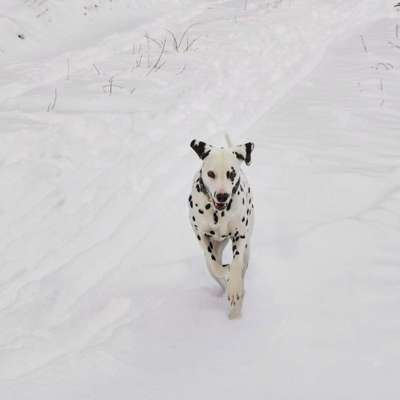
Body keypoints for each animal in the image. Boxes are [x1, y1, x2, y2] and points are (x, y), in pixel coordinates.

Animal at [189, 138, 255, 318]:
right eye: (211, 174)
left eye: (231, 174)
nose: (222, 196)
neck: (219, 213)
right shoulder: (202, 236)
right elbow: (216, 266)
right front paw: (226, 271)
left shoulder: (240, 236)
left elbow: (237, 264)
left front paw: (235, 288)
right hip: (215, 248)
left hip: (247, 245)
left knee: (243, 268)